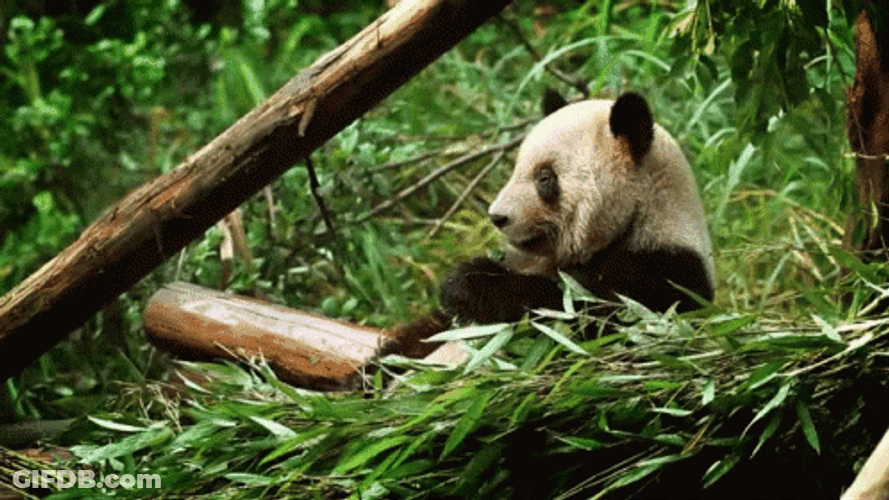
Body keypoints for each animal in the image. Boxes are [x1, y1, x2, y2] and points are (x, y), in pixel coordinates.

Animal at [382, 91, 714, 358]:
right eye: (516, 169)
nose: (497, 217)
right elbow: (423, 333)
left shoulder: (662, 273)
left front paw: (468, 280)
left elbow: (580, 319)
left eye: (544, 178)